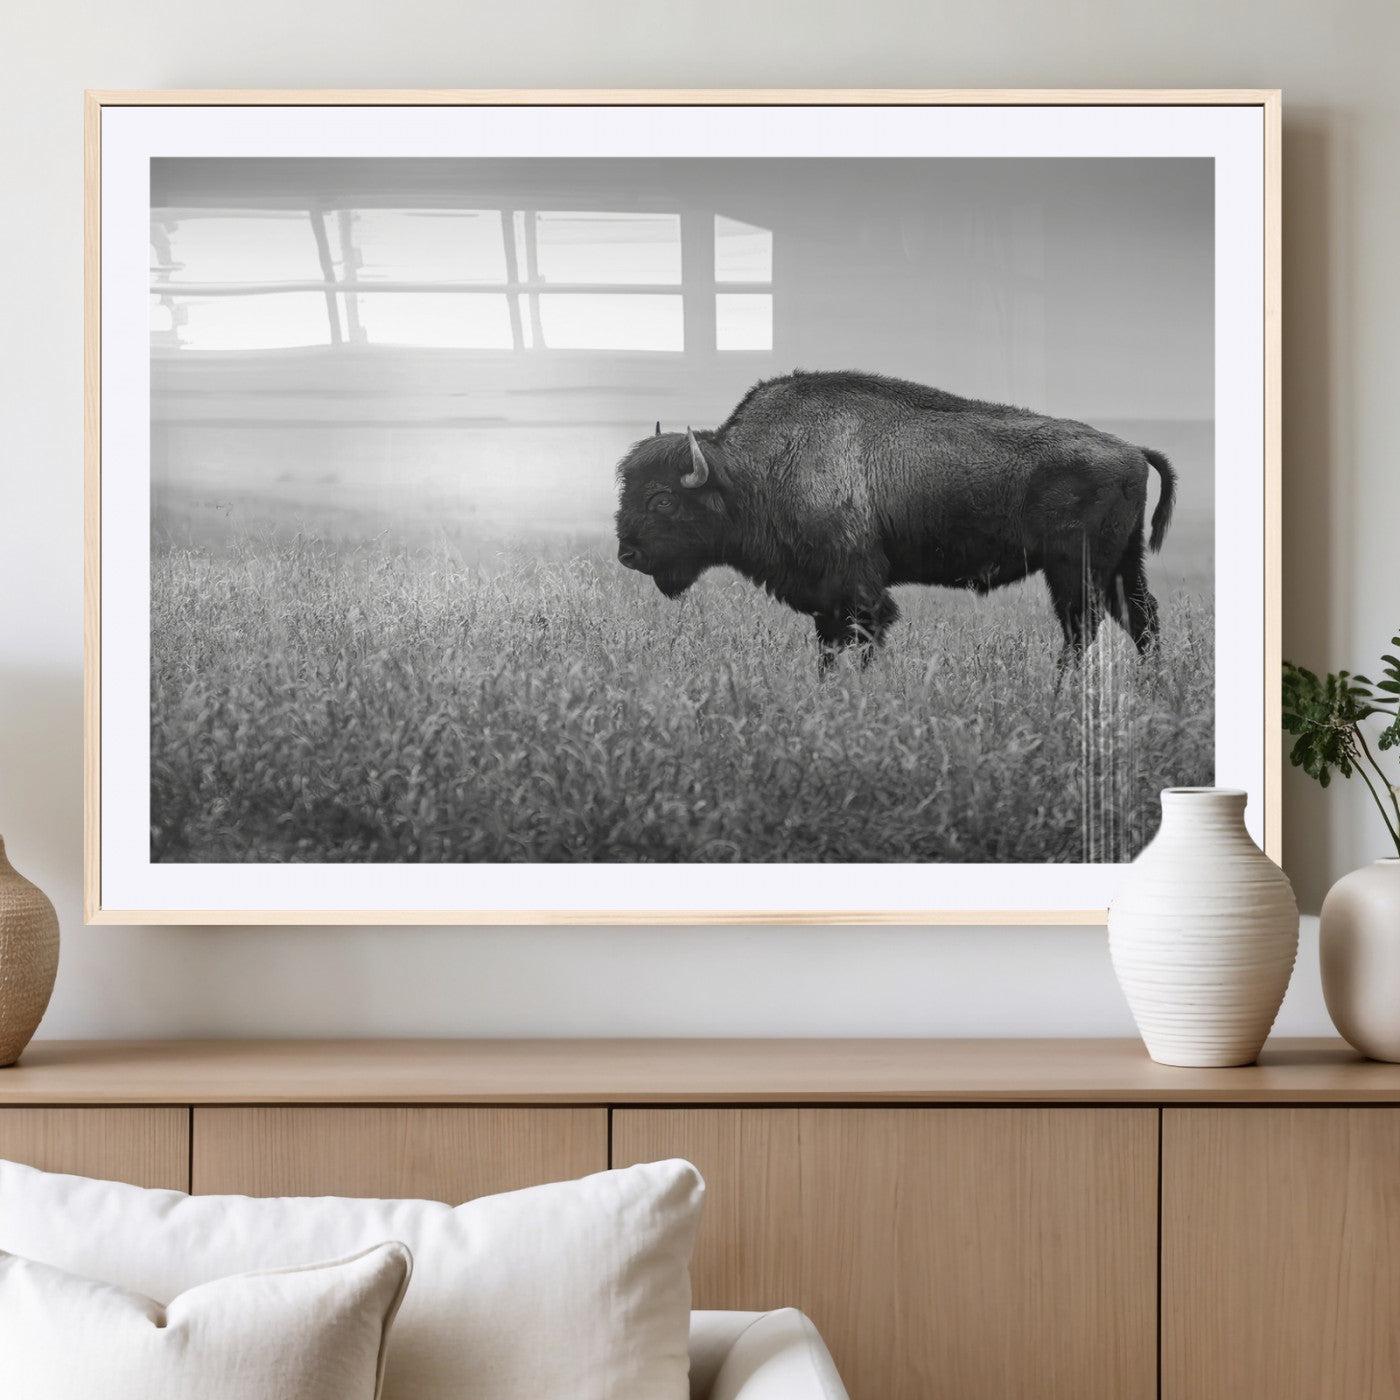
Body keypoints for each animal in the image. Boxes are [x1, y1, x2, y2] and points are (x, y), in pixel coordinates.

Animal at [614, 370, 1176, 674]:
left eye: (662, 500)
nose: (627, 554)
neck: (755, 470)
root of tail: (1132, 450)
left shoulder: (860, 590)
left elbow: (864, 638)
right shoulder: (826, 599)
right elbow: (829, 647)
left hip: (1073, 568)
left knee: (1082, 627)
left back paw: (1059, 691)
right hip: (1122, 563)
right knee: (1140, 618)